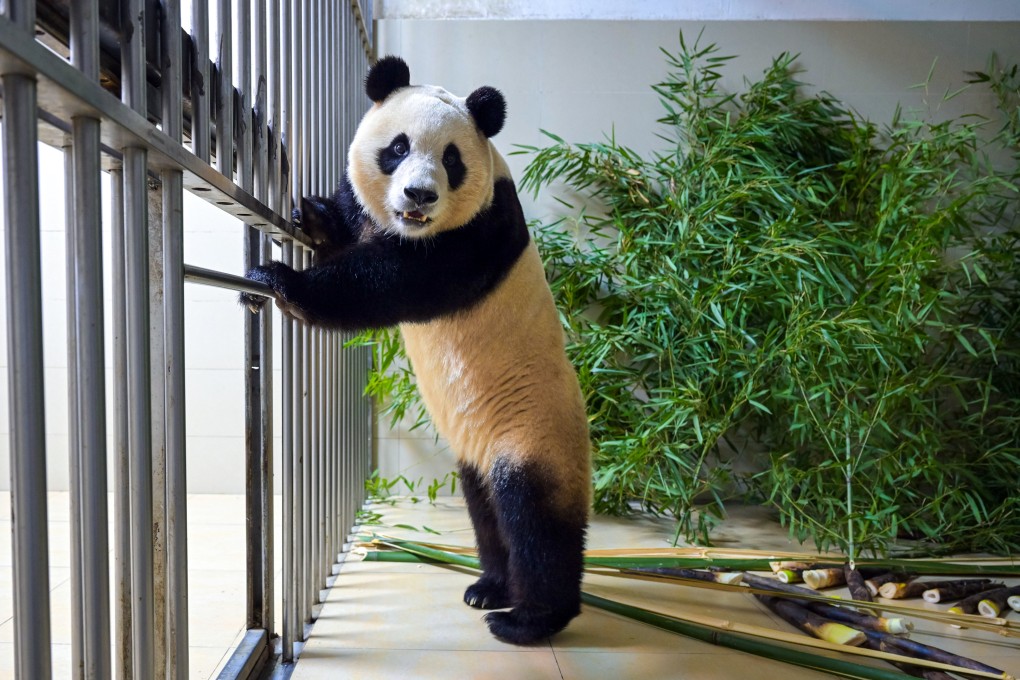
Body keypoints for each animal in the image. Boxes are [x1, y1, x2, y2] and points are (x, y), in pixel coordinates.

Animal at [243, 56, 591, 645]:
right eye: (398, 147)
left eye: (451, 160)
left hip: (535, 433)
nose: (419, 195)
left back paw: (526, 619)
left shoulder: (478, 235)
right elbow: (351, 224)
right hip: (480, 453)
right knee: (487, 514)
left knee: (535, 523)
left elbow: (389, 283)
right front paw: (315, 214)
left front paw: (280, 280)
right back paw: (487, 587)